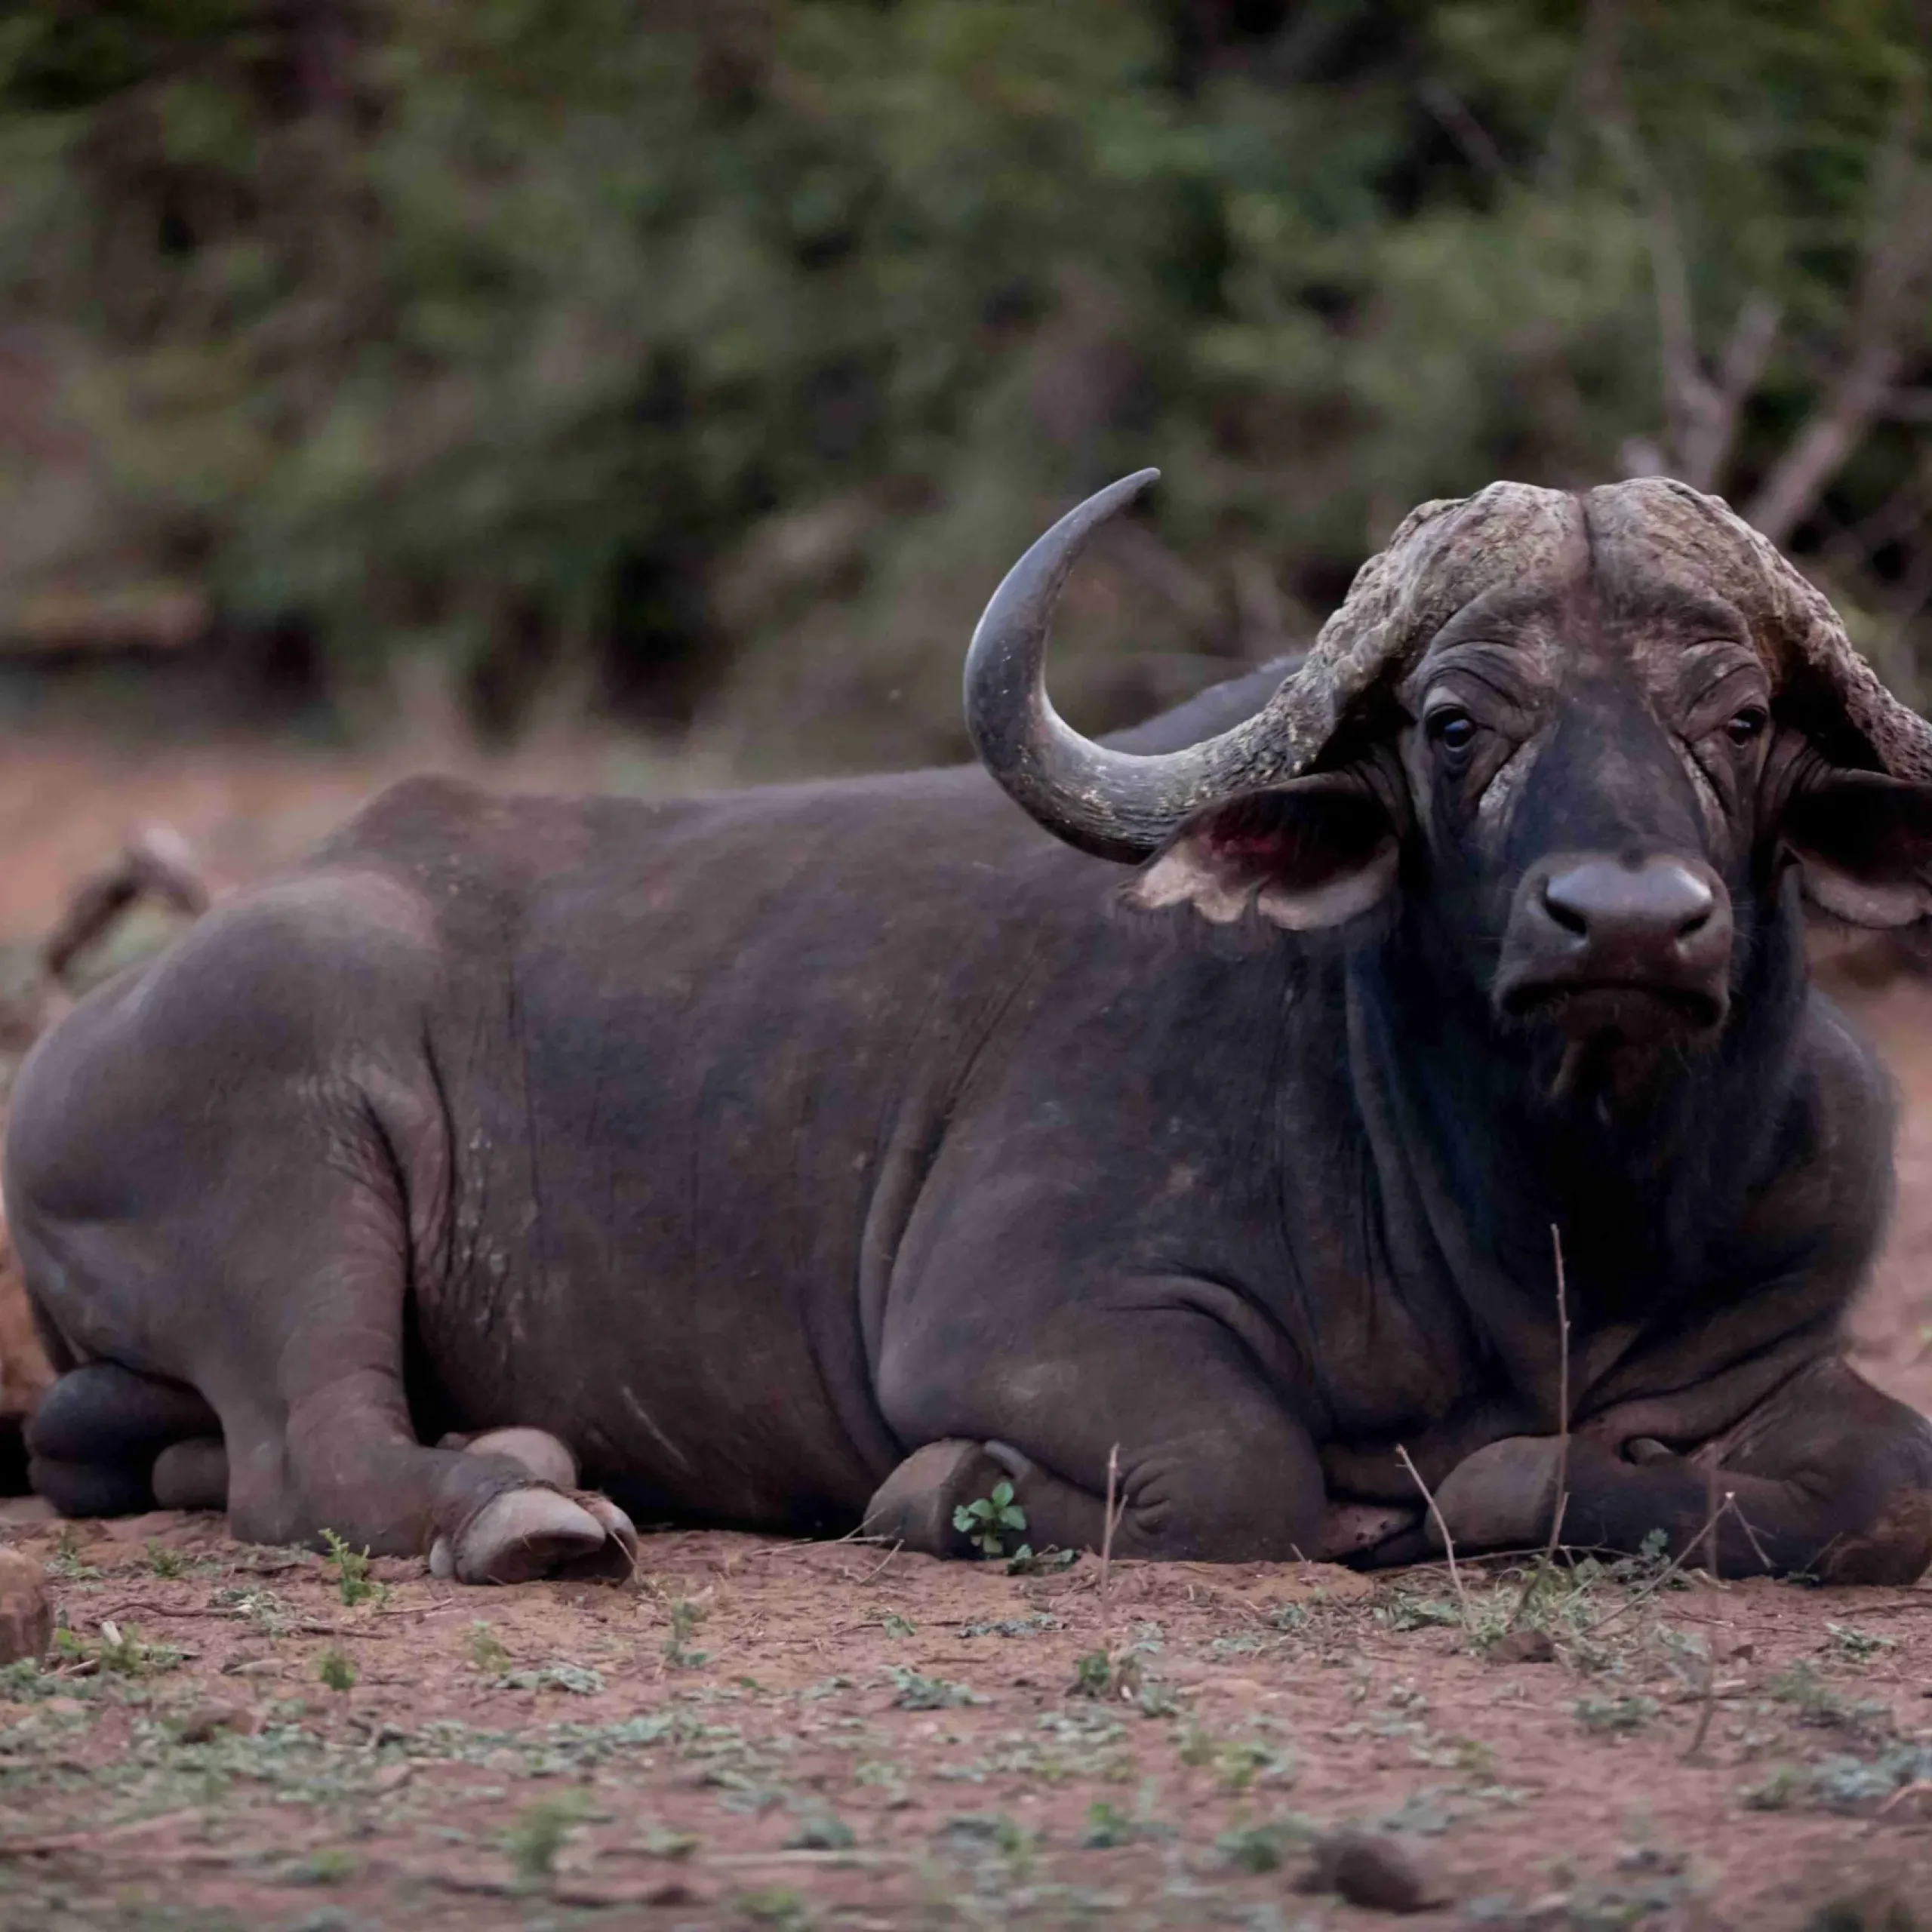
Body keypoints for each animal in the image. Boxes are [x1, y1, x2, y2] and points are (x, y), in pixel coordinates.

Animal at [7, 473, 1932, 1585]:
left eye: (1738, 715)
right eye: (1455, 721)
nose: (1625, 920)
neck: (1547, 1222)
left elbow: (1876, 1485)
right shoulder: (1023, 1322)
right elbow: (1239, 1469)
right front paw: (949, 1491)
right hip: (296, 1145)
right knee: (305, 1454)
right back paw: (521, 1501)